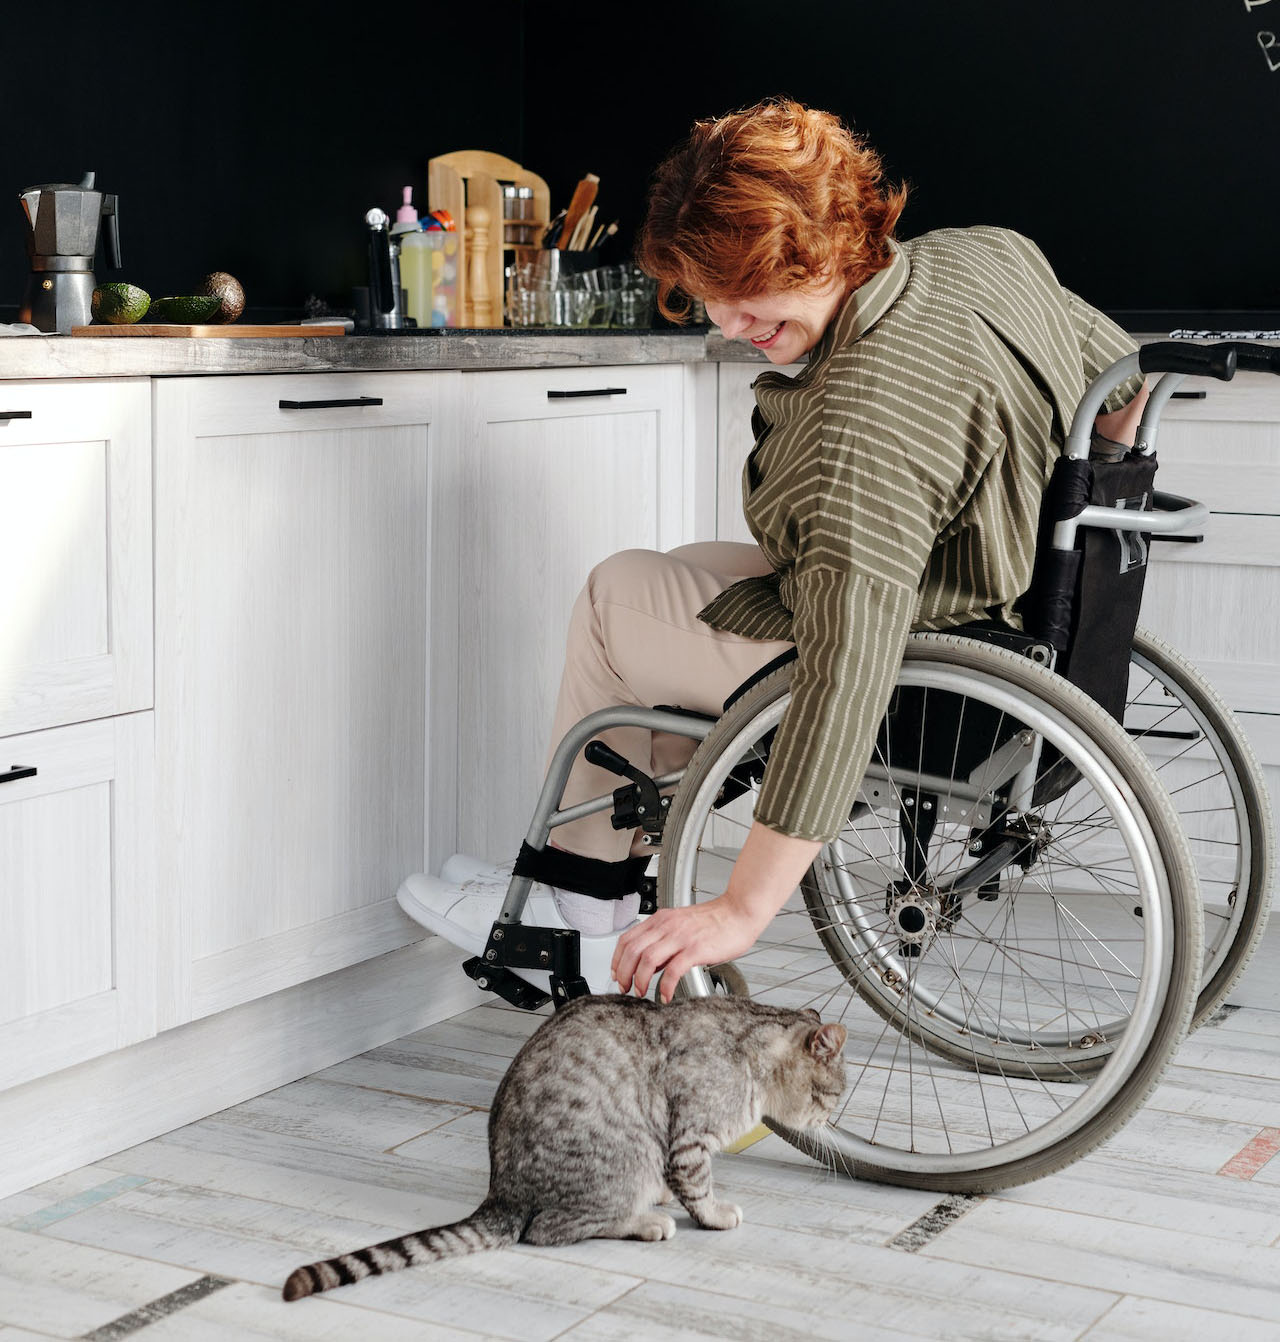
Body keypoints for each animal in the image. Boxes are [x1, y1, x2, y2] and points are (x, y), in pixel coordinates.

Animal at [280, 998, 842, 1299]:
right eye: (834, 1093)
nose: (830, 1120)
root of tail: (500, 1195)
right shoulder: (689, 1137)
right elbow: (698, 1187)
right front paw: (714, 1214)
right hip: (625, 1157)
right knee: (550, 1228)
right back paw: (644, 1221)